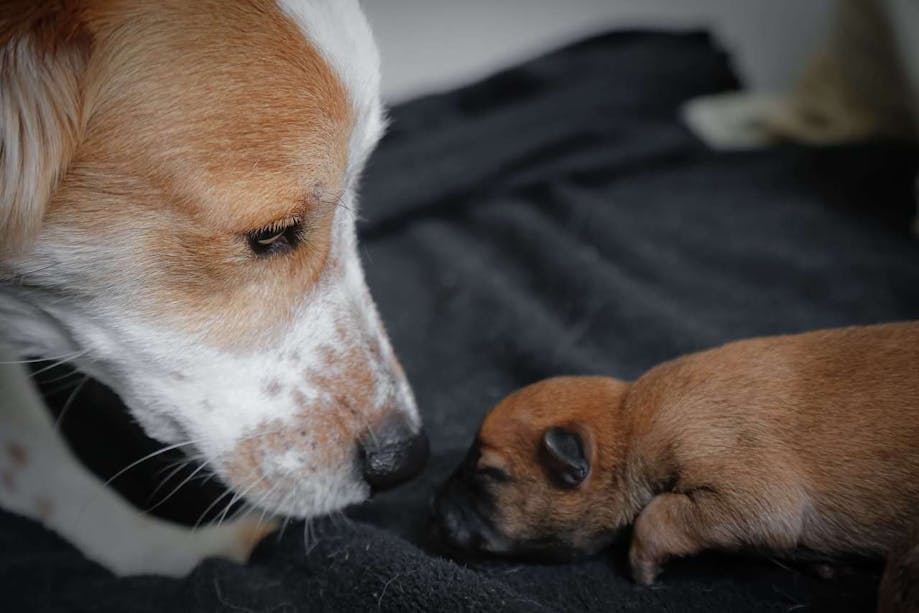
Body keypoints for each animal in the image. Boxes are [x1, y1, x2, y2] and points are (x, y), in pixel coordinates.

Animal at [434, 320, 919, 584]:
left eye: (489, 474)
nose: (433, 506)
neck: (629, 420)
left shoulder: (752, 493)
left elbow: (658, 515)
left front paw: (642, 567)